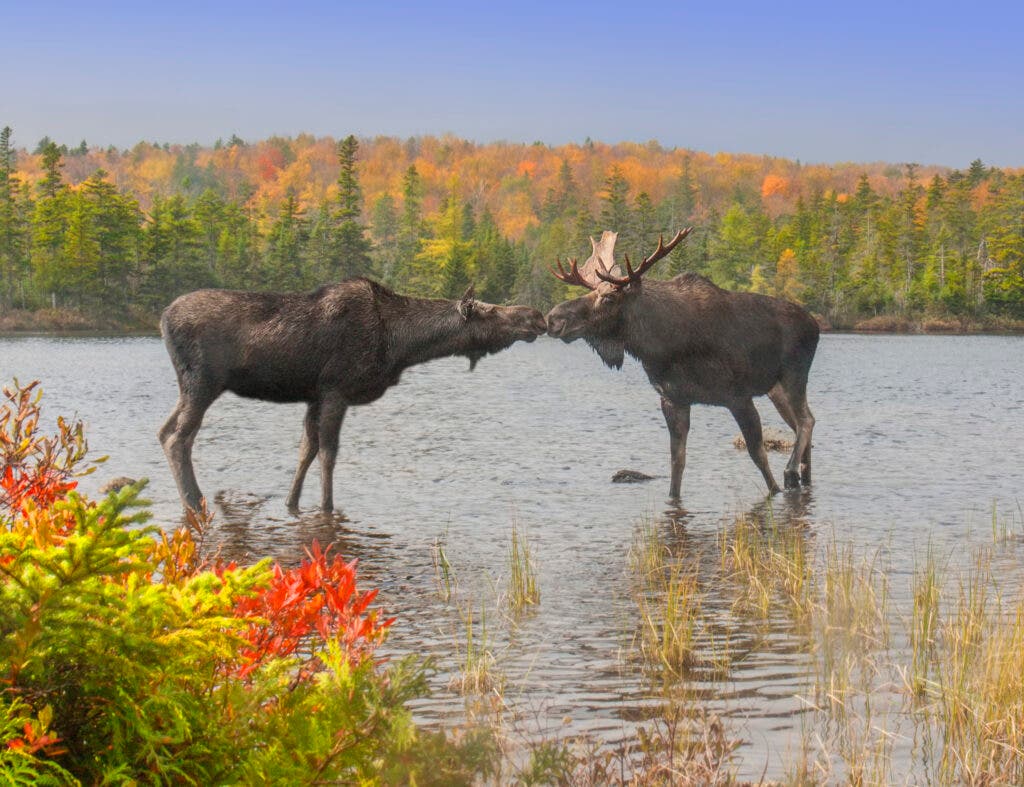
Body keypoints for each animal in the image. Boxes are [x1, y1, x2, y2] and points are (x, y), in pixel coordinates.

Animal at [159, 278, 547, 514]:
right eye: (489, 310)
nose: (537, 316)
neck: (401, 344)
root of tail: (162, 318)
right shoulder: (336, 390)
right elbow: (328, 454)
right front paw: (327, 507)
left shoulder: (314, 396)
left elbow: (306, 450)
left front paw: (291, 503)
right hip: (202, 383)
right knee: (178, 438)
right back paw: (194, 501)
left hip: (188, 387)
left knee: (164, 432)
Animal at [545, 229, 819, 499]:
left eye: (609, 298)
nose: (553, 318)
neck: (662, 346)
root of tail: (815, 324)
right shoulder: (673, 399)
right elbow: (677, 463)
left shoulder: (738, 397)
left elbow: (759, 456)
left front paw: (776, 488)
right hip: (775, 390)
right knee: (801, 423)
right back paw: (803, 476)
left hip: (794, 375)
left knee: (806, 420)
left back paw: (791, 471)